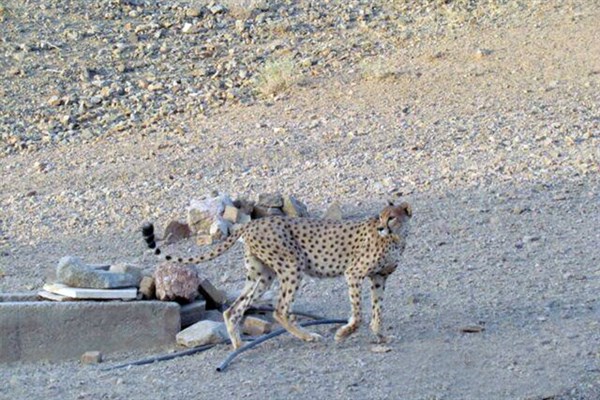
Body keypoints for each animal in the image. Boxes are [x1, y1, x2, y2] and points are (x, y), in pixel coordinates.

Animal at [142, 202, 412, 348]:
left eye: (391, 217)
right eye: (380, 217)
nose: (381, 226)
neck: (397, 238)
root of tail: (252, 223)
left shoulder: (379, 278)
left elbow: (377, 310)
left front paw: (381, 335)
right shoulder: (354, 273)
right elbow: (358, 313)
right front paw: (343, 332)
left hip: (262, 275)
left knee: (234, 309)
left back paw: (238, 345)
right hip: (292, 265)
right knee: (280, 309)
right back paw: (307, 336)